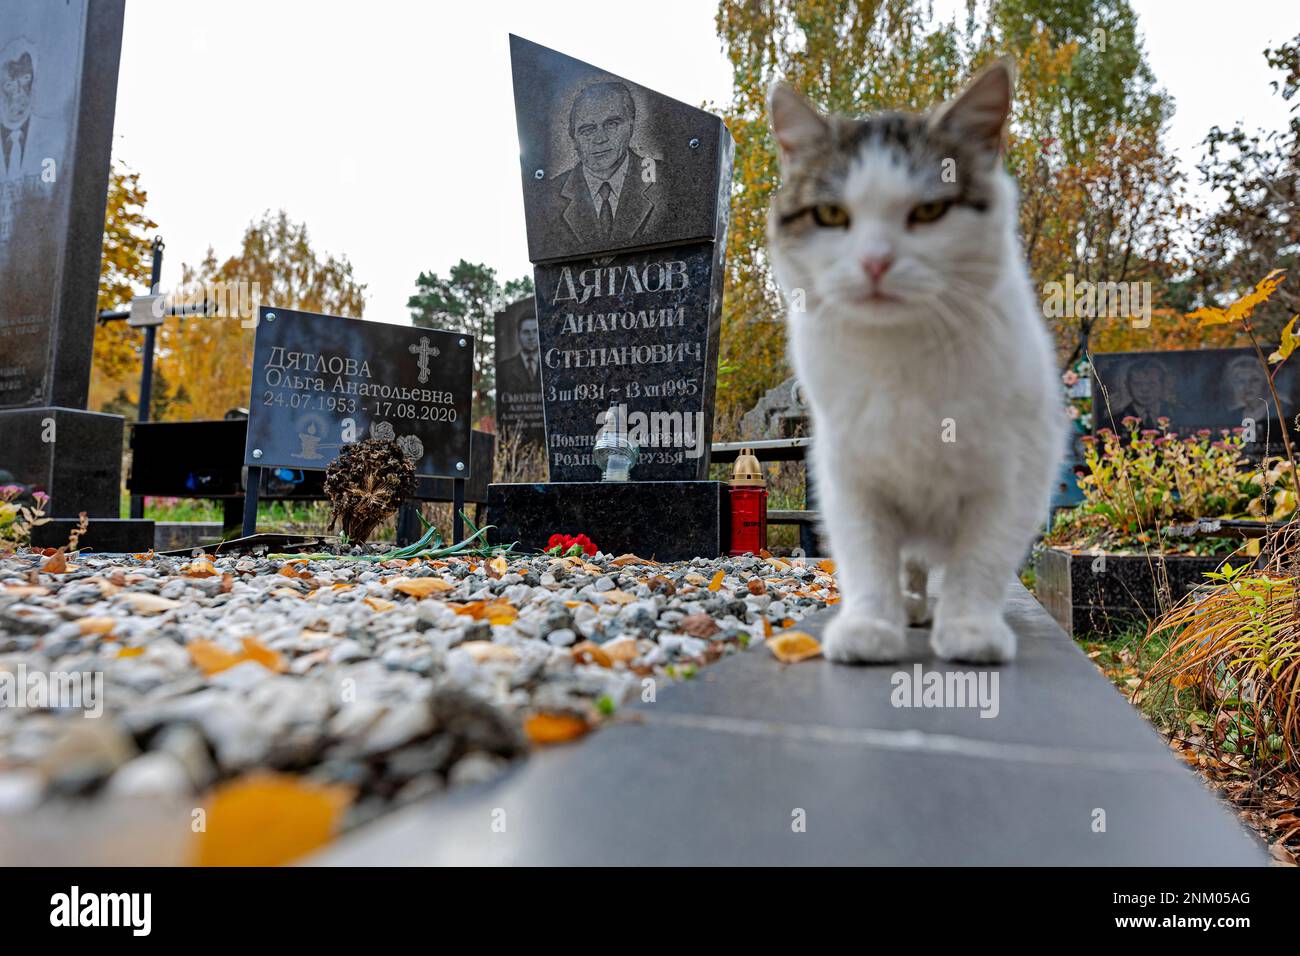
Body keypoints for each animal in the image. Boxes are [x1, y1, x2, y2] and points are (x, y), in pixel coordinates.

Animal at [764, 63, 1060, 660]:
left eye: (929, 211)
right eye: (831, 213)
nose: (875, 262)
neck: (899, 353)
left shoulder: (1014, 474)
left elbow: (980, 559)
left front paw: (969, 629)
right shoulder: (848, 471)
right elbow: (867, 556)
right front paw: (871, 626)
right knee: (912, 564)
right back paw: (914, 606)